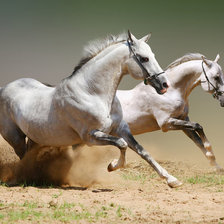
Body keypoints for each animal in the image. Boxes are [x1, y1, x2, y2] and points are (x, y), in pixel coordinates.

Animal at [0, 32, 184, 187]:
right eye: (144, 58)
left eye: (152, 56)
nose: (164, 84)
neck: (92, 93)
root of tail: (4, 88)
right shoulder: (90, 137)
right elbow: (122, 144)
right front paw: (112, 166)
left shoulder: (121, 128)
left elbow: (142, 151)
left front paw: (172, 180)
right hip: (15, 138)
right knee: (23, 158)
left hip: (35, 137)